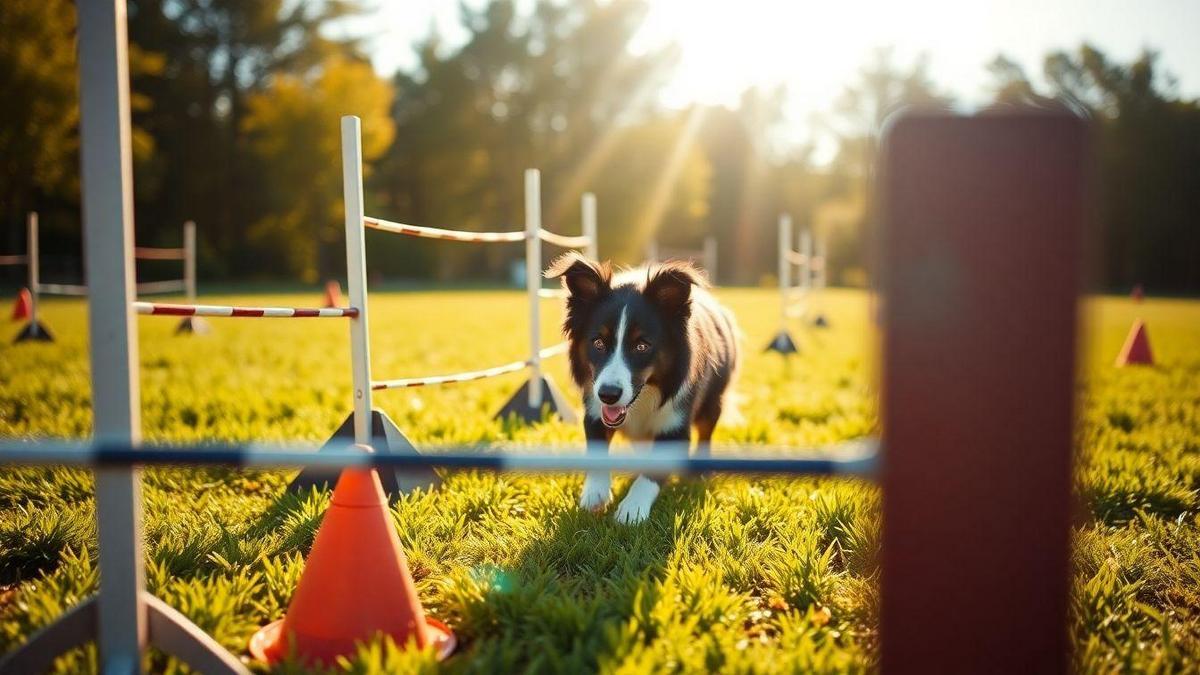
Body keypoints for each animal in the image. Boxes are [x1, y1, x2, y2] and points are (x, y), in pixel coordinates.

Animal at [547, 251, 734, 521]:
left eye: (642, 346)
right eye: (598, 342)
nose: (609, 395)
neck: (647, 393)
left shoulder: (676, 422)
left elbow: (654, 473)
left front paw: (632, 509)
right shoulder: (595, 410)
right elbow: (597, 447)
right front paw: (595, 495)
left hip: (713, 398)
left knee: (706, 429)